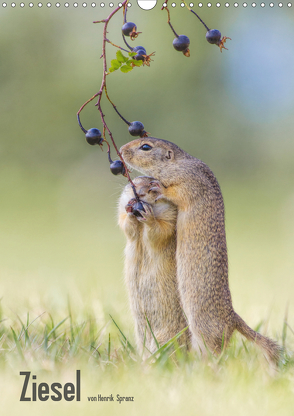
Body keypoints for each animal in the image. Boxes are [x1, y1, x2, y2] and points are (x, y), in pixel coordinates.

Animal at [117, 176, 188, 354]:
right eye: (133, 182)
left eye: (153, 187)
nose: (138, 194)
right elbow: (125, 224)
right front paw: (130, 209)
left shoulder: (171, 216)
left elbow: (160, 231)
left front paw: (148, 217)